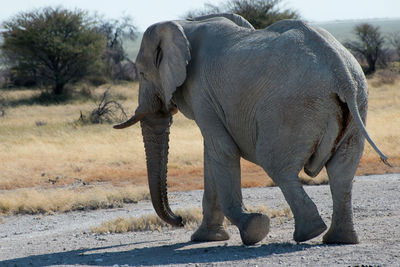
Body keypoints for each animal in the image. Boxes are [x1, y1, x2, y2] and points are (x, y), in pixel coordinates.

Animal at [114, 13, 390, 246]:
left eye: (141, 73)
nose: (179, 219)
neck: (185, 23)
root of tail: (341, 71)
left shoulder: (201, 91)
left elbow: (221, 150)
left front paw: (252, 229)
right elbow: (211, 154)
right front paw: (205, 238)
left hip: (292, 108)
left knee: (277, 166)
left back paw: (308, 233)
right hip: (358, 101)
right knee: (342, 172)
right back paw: (338, 239)